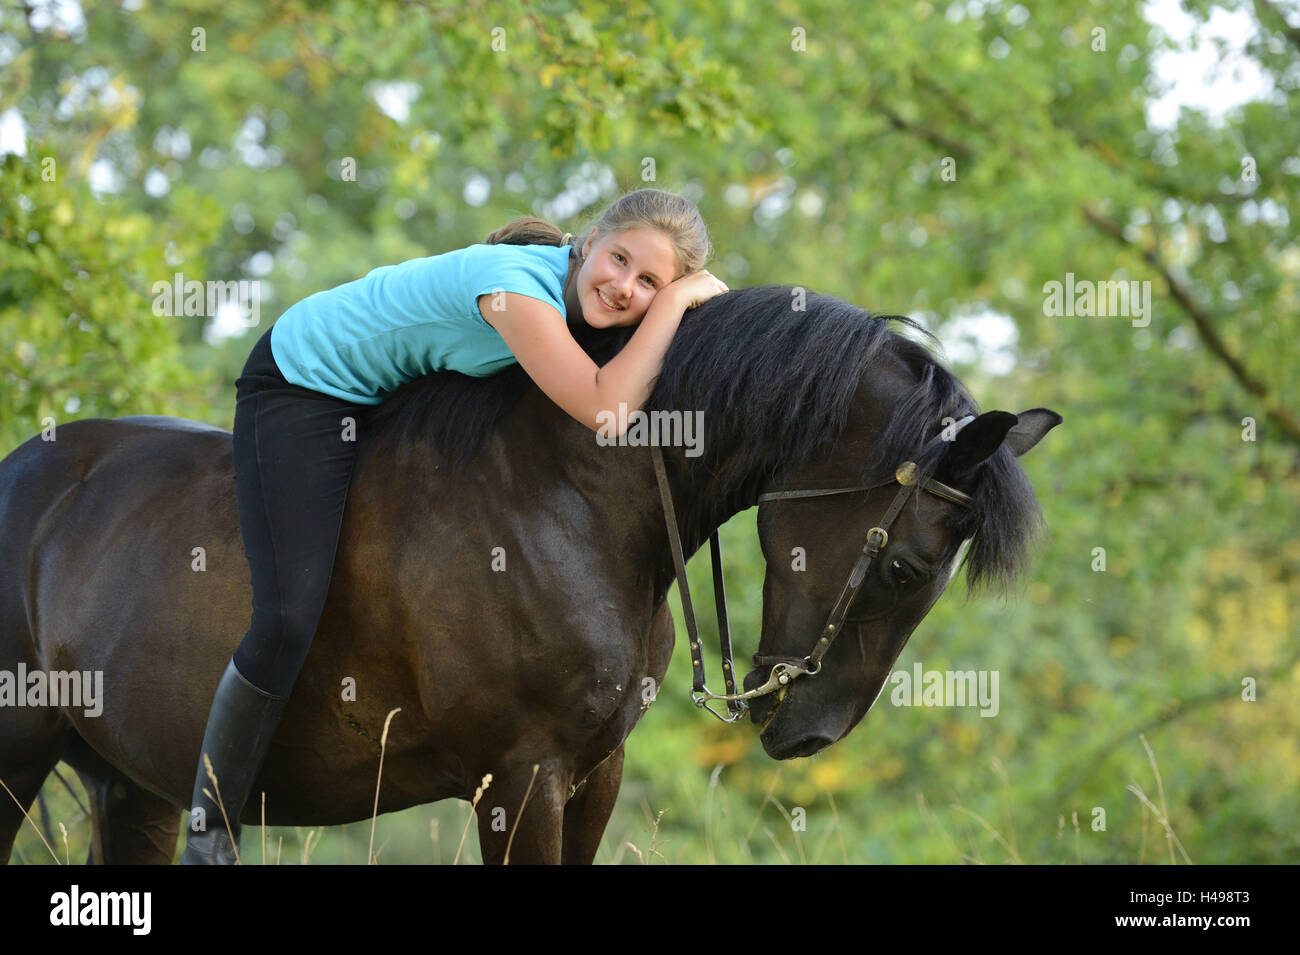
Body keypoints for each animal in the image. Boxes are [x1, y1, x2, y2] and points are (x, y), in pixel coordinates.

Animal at [0, 287, 1055, 862]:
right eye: (906, 567)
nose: (810, 732)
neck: (574, 495)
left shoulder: (591, 772)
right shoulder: (519, 776)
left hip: (129, 785)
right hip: (18, 757)